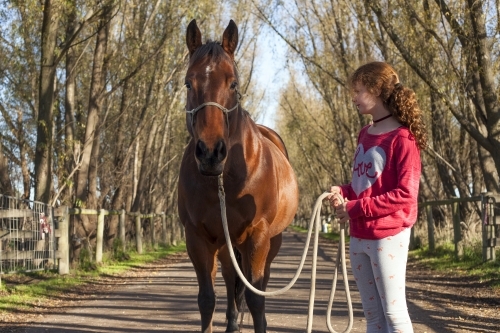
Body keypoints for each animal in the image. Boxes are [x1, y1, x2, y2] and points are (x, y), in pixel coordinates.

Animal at [178, 19, 298, 330]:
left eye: (233, 83)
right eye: (188, 82)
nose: (210, 152)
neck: (225, 179)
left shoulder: (258, 236)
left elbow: (256, 298)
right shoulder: (198, 238)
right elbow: (207, 300)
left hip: (270, 243)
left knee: (259, 284)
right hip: (225, 246)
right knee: (232, 278)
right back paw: (233, 323)